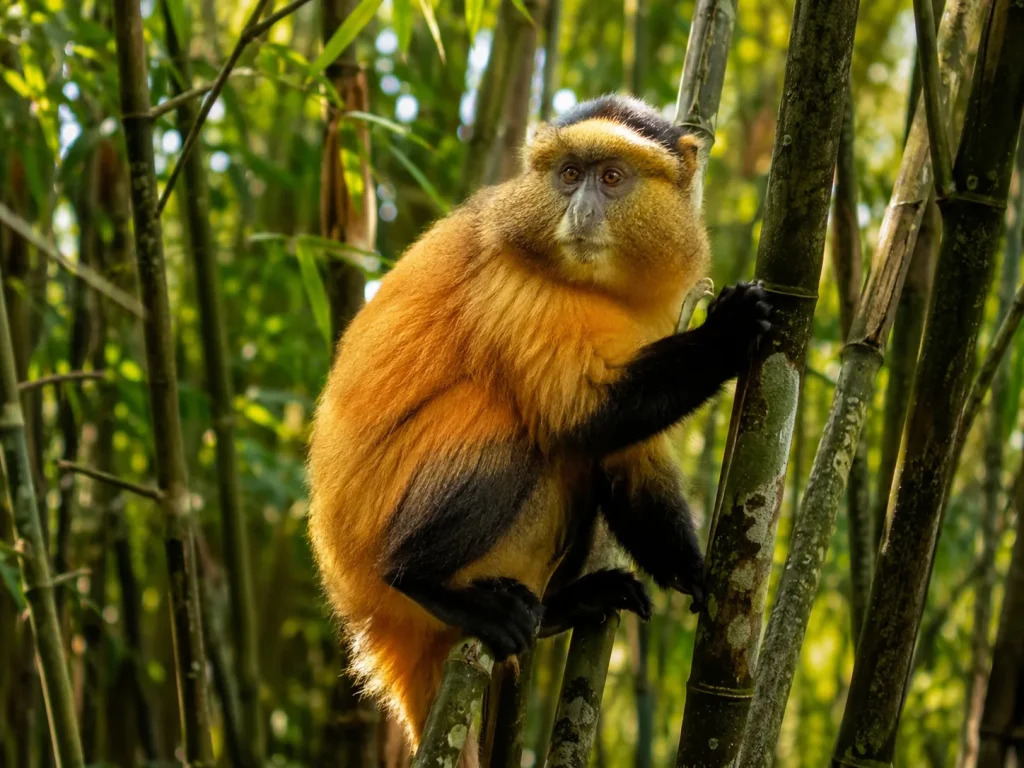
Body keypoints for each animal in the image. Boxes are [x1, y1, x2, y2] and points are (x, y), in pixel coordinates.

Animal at [307, 94, 772, 765]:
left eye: (611, 177)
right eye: (569, 175)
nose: (579, 210)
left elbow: (625, 457)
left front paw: (695, 574)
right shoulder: (515, 283)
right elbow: (584, 416)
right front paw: (727, 332)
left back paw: (559, 609)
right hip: (376, 538)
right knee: (516, 428)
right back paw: (427, 582)